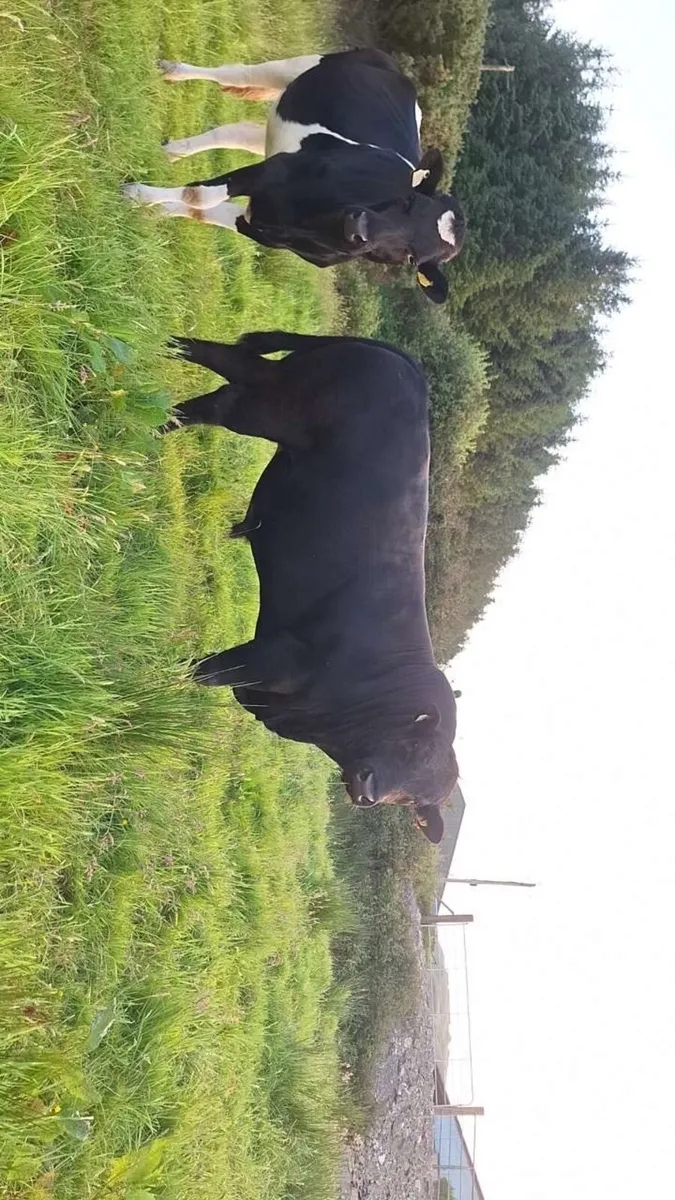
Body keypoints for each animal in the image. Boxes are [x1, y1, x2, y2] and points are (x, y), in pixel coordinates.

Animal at [123, 49, 466, 304]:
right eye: (408, 201)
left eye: (412, 258)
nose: (360, 228)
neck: (312, 222)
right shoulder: (276, 170)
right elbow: (199, 195)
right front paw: (137, 196)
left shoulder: (259, 226)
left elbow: (201, 210)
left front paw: (155, 211)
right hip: (298, 66)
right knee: (238, 73)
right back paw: (172, 71)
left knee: (238, 130)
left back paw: (172, 152)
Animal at [162, 330, 459, 841]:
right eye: (412, 748)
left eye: (413, 799)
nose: (368, 789)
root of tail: (405, 367)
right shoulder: (273, 653)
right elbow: (203, 671)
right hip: (270, 403)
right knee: (223, 383)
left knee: (217, 382)